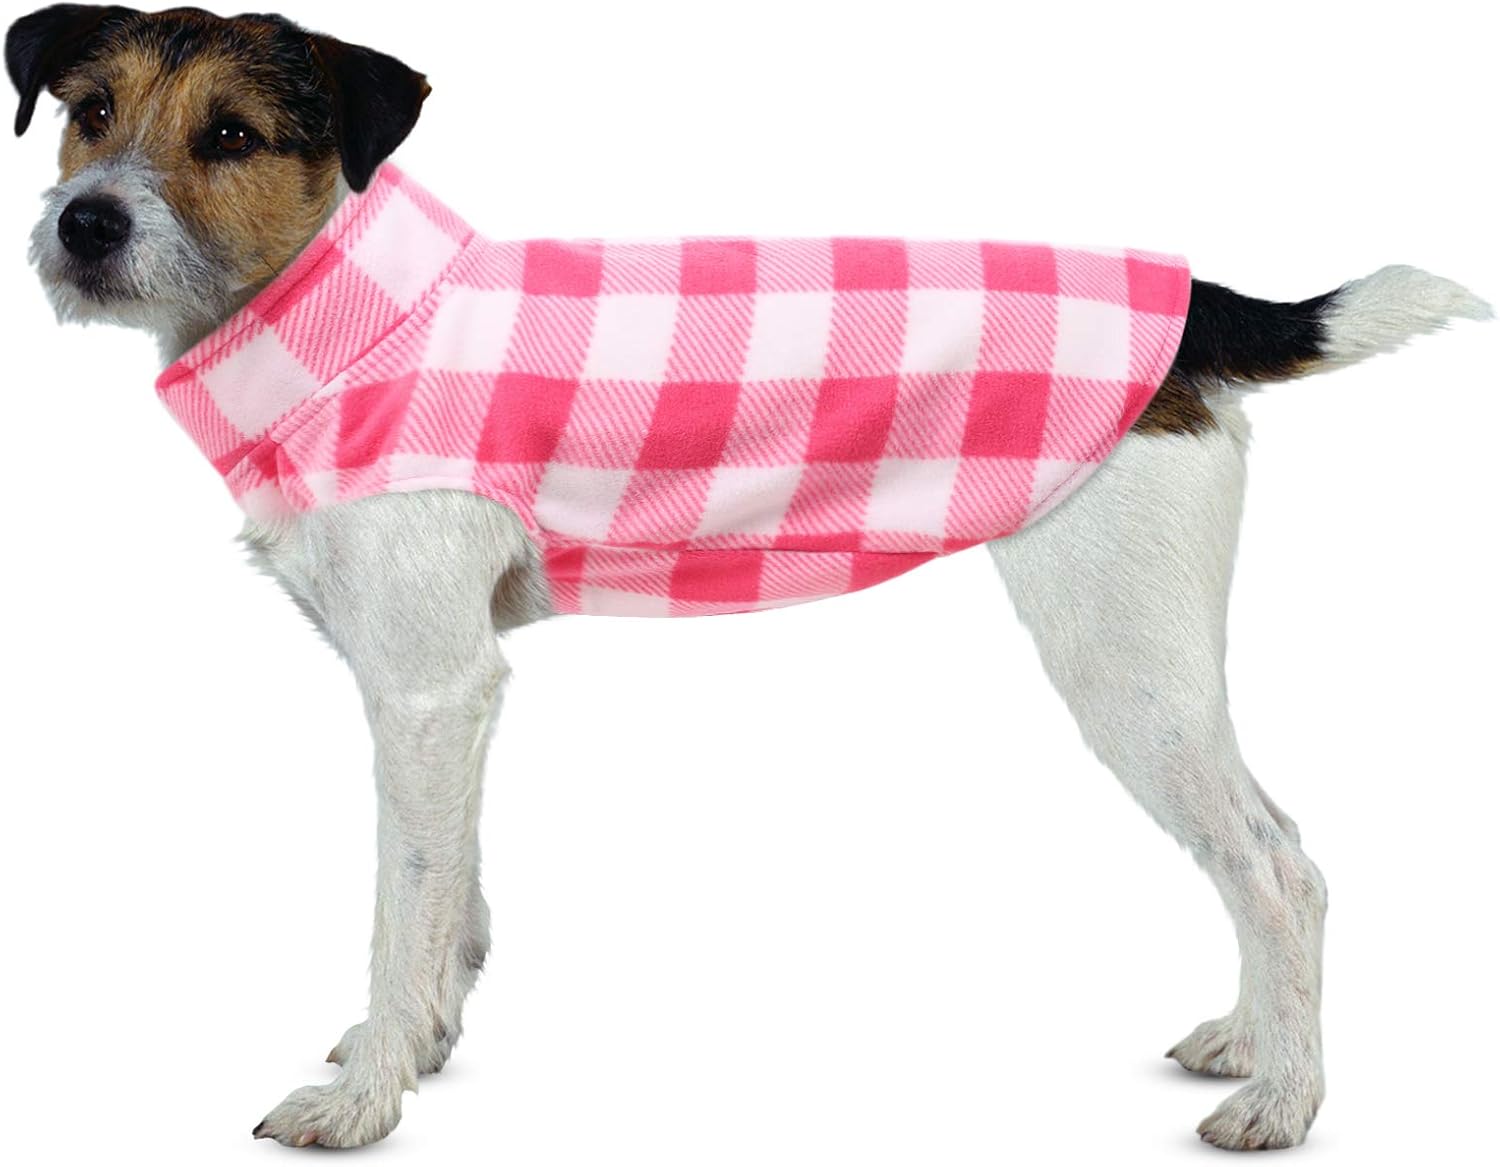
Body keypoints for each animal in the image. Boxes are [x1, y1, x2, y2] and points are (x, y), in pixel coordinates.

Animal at [7, 3, 1492, 1152]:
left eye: (231, 136)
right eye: (88, 110)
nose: (85, 223)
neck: (355, 313)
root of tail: (1201, 305)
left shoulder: (425, 690)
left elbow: (401, 900)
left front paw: (367, 1095)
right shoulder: (446, 697)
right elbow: (453, 894)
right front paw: (418, 1039)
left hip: (1126, 666)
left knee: (1278, 866)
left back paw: (1287, 1101)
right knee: (1263, 850)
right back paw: (1252, 1037)